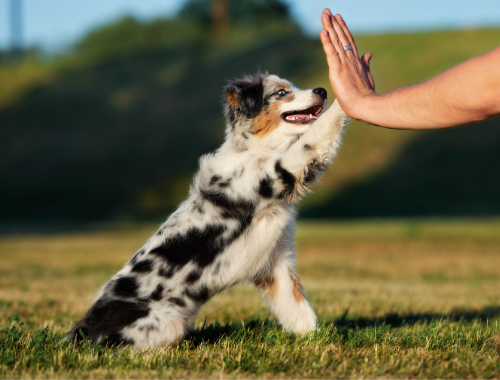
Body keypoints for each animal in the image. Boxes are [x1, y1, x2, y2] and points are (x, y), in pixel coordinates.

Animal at [68, 72, 350, 348]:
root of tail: (83, 331)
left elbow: (298, 309)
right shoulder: (283, 169)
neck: (257, 149)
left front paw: (316, 340)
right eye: (281, 92)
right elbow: (316, 135)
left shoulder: (276, 261)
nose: (322, 90)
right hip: (166, 324)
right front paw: (346, 92)